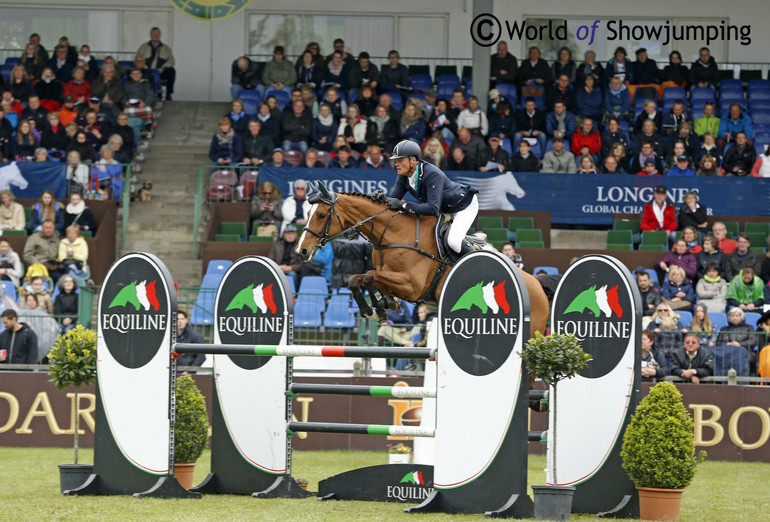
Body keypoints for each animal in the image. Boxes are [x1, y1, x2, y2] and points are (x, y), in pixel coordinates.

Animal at [296, 185, 552, 336]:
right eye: (307, 214)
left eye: (321, 215)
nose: (301, 250)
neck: (394, 234)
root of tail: (536, 283)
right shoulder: (389, 276)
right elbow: (358, 279)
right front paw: (380, 307)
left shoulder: (412, 286)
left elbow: (368, 276)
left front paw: (378, 308)